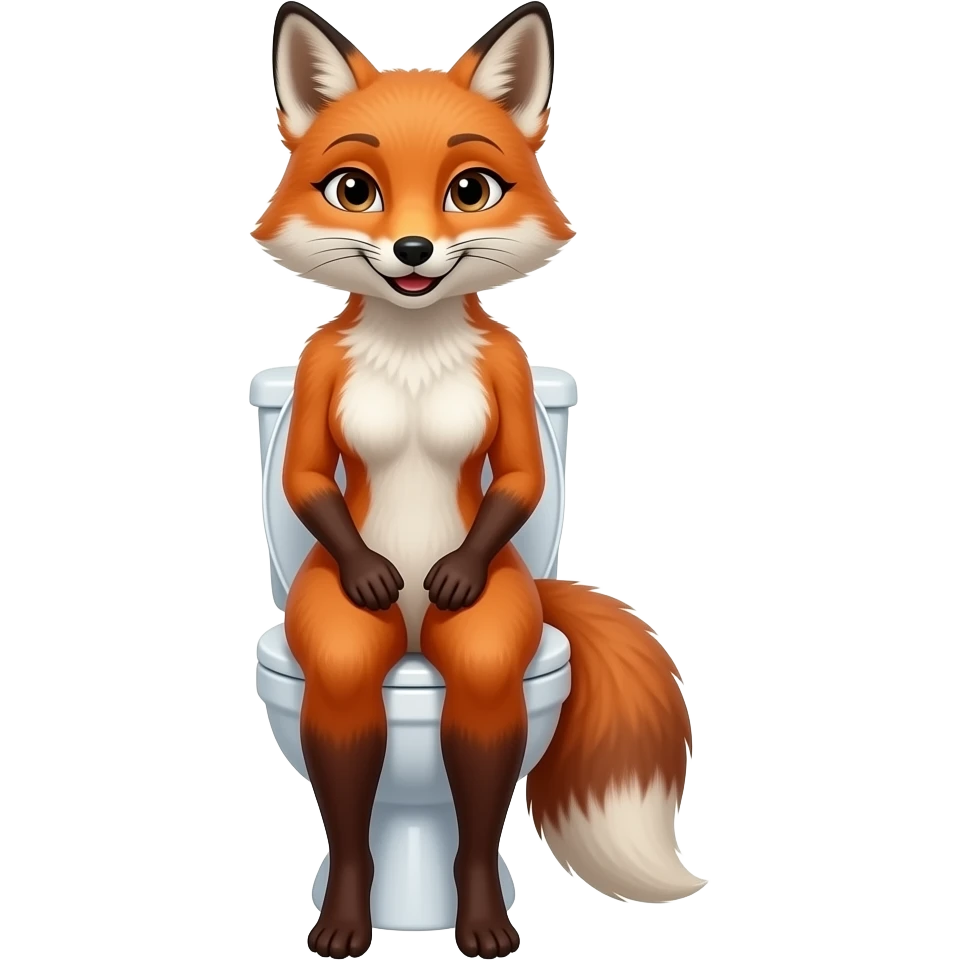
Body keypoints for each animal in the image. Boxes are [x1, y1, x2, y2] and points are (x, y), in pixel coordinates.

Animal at [252, 2, 705, 957]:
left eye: (471, 190)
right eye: (354, 189)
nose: (413, 248)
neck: (414, 343)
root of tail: (417, 647)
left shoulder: (510, 364)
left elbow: (523, 476)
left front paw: (453, 569)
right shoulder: (313, 368)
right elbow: (308, 471)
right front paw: (374, 570)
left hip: (505, 631)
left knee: (483, 709)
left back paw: (479, 919)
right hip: (335, 642)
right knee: (345, 690)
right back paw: (348, 919)